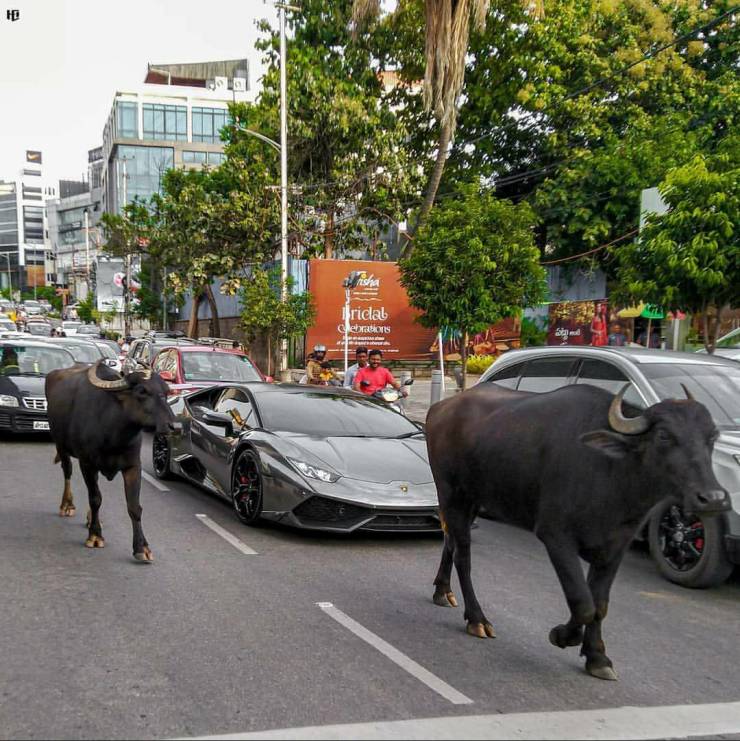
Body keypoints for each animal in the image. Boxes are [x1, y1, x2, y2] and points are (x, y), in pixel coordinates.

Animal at [45, 358, 175, 560]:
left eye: (167, 390)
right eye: (142, 391)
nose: (174, 425)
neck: (113, 433)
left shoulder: (133, 466)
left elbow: (134, 506)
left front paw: (142, 547)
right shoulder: (87, 464)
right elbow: (95, 498)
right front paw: (95, 535)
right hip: (61, 445)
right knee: (67, 471)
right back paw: (67, 505)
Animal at [424, 384, 732, 680]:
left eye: (711, 437)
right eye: (664, 435)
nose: (713, 498)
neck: (611, 474)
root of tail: (440, 409)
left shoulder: (615, 547)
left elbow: (600, 603)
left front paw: (598, 657)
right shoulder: (556, 537)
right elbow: (582, 602)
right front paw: (562, 635)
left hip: (473, 500)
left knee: (450, 542)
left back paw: (443, 591)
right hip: (451, 493)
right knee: (463, 555)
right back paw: (477, 619)